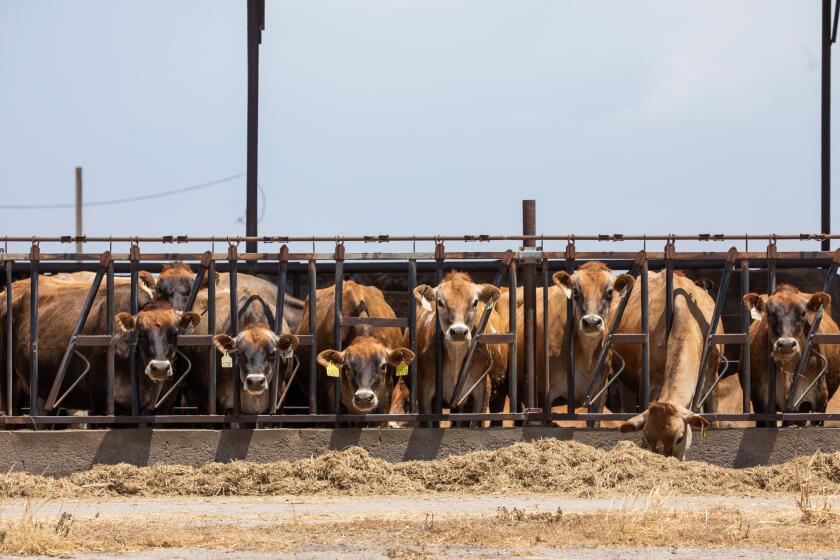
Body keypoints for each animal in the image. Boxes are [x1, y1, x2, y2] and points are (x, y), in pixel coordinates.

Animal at [496, 262, 632, 412]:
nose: (591, 322)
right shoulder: (543, 395)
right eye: (575, 291)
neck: (586, 357)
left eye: (610, 292)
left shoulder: (599, 394)